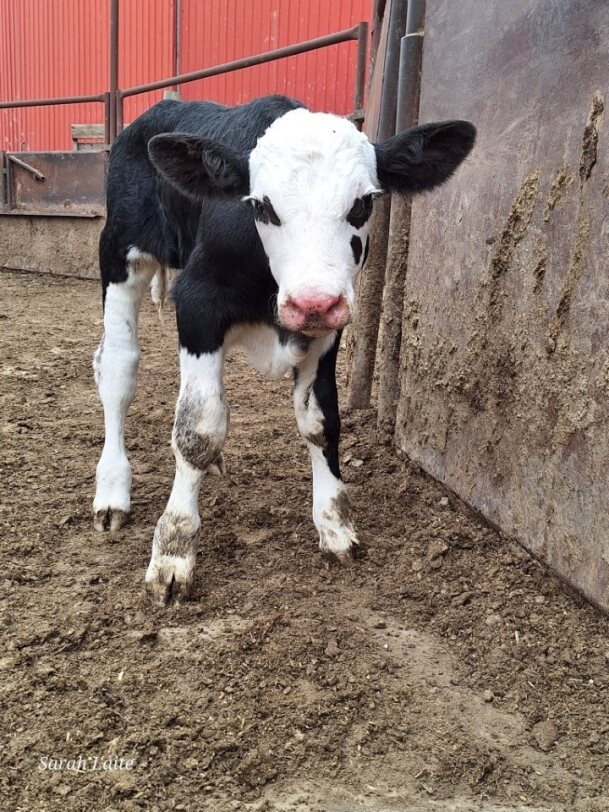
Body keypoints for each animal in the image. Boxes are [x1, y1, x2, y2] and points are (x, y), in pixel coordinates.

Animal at [92, 95, 475, 604]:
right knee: (117, 366)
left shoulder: (329, 328)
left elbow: (321, 421)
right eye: (261, 205)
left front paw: (334, 523)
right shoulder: (197, 304)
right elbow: (197, 430)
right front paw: (173, 550)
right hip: (119, 250)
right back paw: (112, 490)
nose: (313, 300)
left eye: (363, 203)